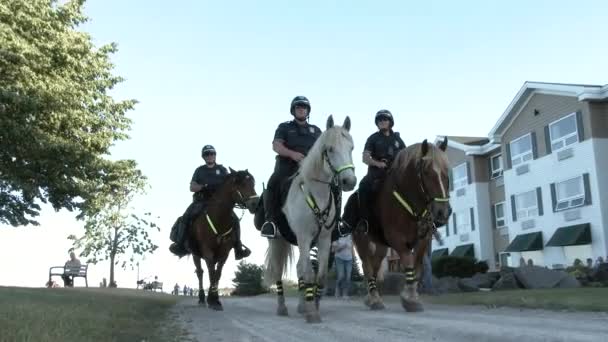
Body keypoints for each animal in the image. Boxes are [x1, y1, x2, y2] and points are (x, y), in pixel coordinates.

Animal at [189, 168, 258, 310]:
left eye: (253, 183)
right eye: (241, 184)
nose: (255, 203)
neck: (218, 218)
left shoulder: (224, 252)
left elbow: (217, 274)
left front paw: (215, 300)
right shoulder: (207, 251)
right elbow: (211, 273)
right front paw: (211, 300)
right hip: (195, 254)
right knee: (200, 272)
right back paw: (201, 298)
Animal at [264, 115, 356, 324]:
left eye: (351, 148)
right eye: (330, 149)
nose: (349, 181)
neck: (317, 193)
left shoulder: (324, 239)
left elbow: (318, 274)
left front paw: (313, 306)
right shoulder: (304, 236)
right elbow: (306, 272)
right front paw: (311, 312)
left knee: (302, 268)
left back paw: (301, 306)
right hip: (276, 240)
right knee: (279, 271)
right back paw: (282, 308)